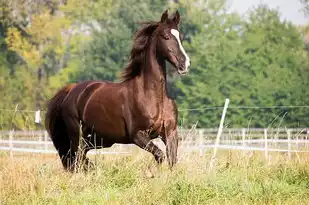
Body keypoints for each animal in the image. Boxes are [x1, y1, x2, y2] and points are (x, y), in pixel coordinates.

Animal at [45, 10, 190, 173]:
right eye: (166, 36)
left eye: (180, 37)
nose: (185, 64)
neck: (153, 96)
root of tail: (71, 90)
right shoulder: (137, 135)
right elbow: (159, 155)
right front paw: (150, 174)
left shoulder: (170, 133)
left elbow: (172, 160)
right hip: (78, 135)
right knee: (77, 158)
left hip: (98, 139)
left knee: (80, 157)